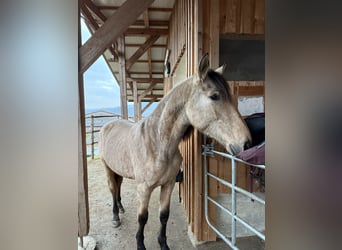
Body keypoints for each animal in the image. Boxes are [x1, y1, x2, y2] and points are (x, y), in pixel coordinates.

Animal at [99, 53, 251, 250]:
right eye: (214, 96)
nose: (246, 143)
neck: (157, 144)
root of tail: (108, 125)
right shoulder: (144, 188)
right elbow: (143, 218)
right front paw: (140, 244)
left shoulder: (169, 184)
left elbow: (164, 215)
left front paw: (163, 244)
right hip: (107, 168)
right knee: (112, 188)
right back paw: (116, 217)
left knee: (118, 187)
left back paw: (121, 208)